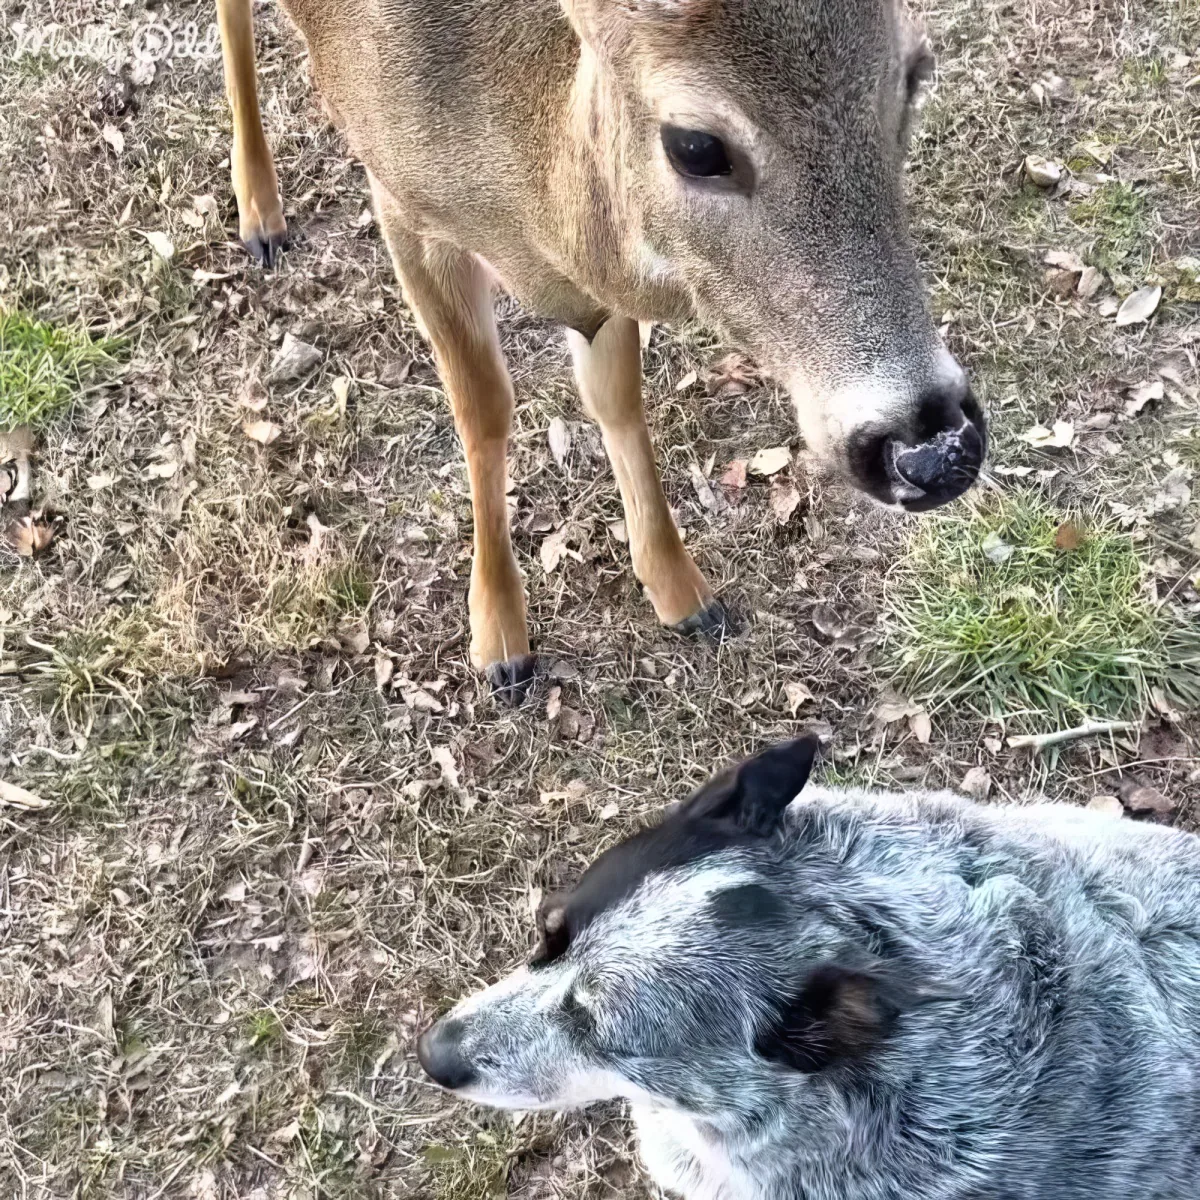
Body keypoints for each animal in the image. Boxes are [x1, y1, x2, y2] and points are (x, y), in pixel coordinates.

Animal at [215, 0, 986, 703]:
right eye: (696, 145)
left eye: (917, 72)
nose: (935, 446)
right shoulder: (403, 205)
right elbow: (482, 407)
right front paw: (499, 640)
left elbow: (615, 397)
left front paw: (682, 592)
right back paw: (260, 216)